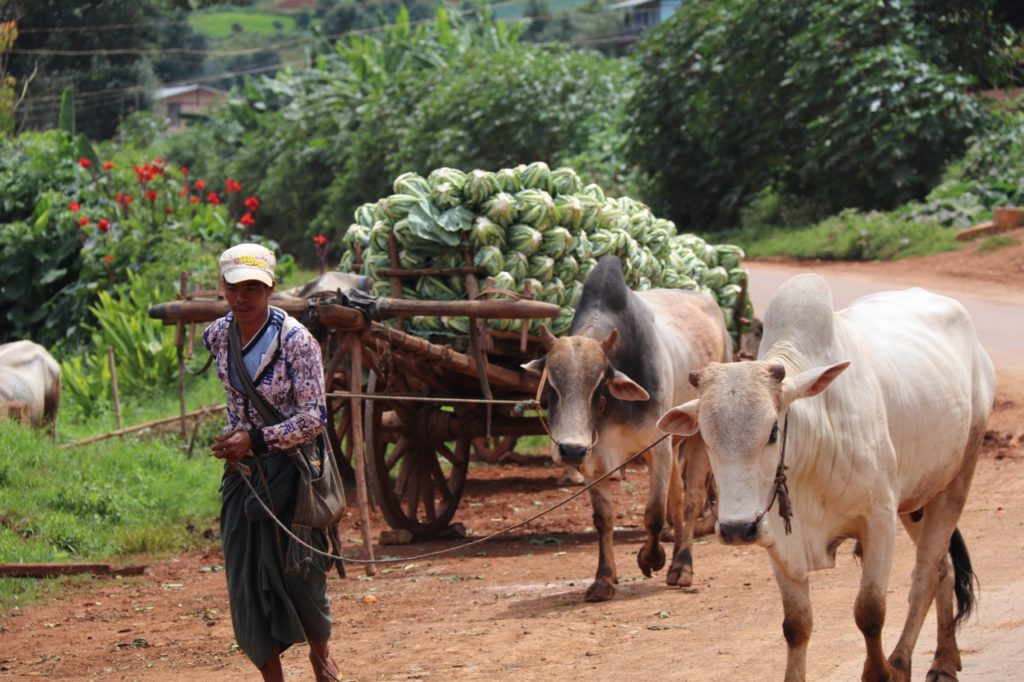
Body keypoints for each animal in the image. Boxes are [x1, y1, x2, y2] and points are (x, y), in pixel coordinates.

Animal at [659, 274, 995, 679]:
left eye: (773, 431)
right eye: (706, 438)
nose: (737, 529)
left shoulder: (879, 519)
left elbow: (870, 612)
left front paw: (880, 672)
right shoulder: (778, 538)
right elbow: (796, 625)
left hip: (958, 477)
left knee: (926, 572)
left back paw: (916, 662)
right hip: (917, 497)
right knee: (943, 567)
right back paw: (944, 655)